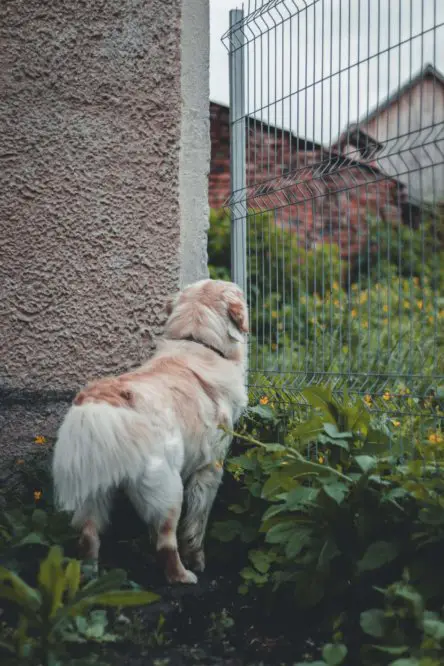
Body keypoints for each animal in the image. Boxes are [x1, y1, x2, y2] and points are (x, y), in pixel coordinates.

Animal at [51, 278, 250, 580]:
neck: (196, 341)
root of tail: (102, 402)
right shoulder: (210, 468)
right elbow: (197, 524)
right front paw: (198, 561)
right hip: (169, 488)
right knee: (166, 542)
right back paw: (183, 577)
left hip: (93, 491)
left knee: (89, 537)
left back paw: (90, 579)